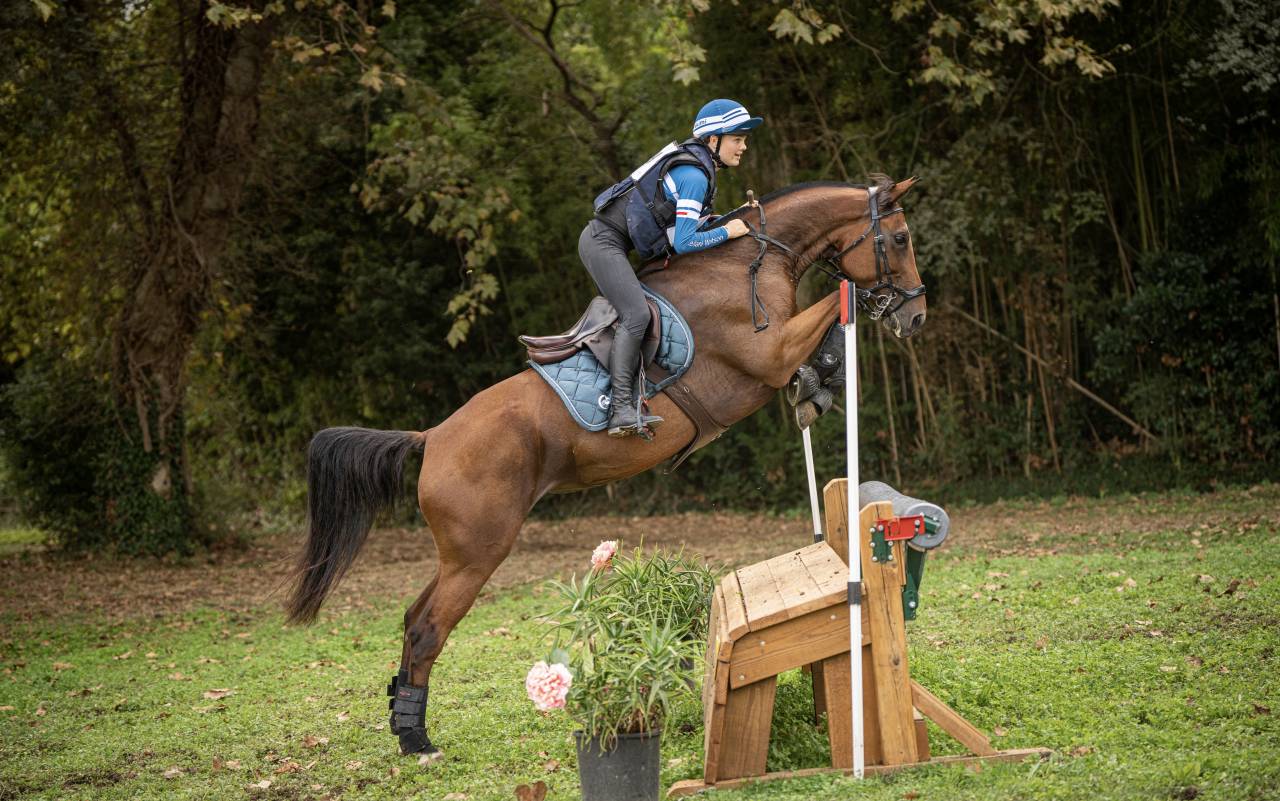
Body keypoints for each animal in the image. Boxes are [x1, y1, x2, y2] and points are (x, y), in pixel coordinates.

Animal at [285, 176, 926, 758]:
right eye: (898, 238)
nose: (913, 315)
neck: (749, 260)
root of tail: (433, 437)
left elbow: (826, 329)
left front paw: (816, 388)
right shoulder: (769, 354)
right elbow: (832, 307)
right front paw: (821, 380)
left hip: (458, 554)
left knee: (412, 617)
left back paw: (403, 723)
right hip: (478, 552)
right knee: (426, 629)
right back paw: (418, 741)